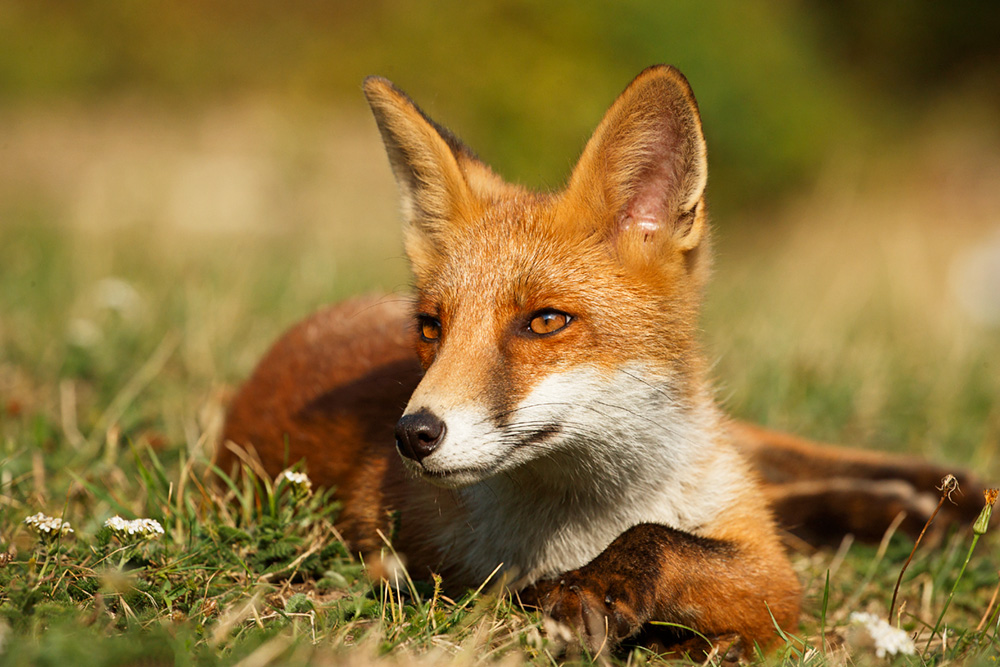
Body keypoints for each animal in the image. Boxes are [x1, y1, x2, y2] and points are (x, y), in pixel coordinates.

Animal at [217, 65, 985, 658]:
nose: (414, 435)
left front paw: (600, 586)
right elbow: (659, 545)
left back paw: (941, 497)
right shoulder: (438, 569)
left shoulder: (770, 575)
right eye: (432, 327)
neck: (604, 506)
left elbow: (665, 540)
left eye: (545, 321)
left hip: (735, 452)